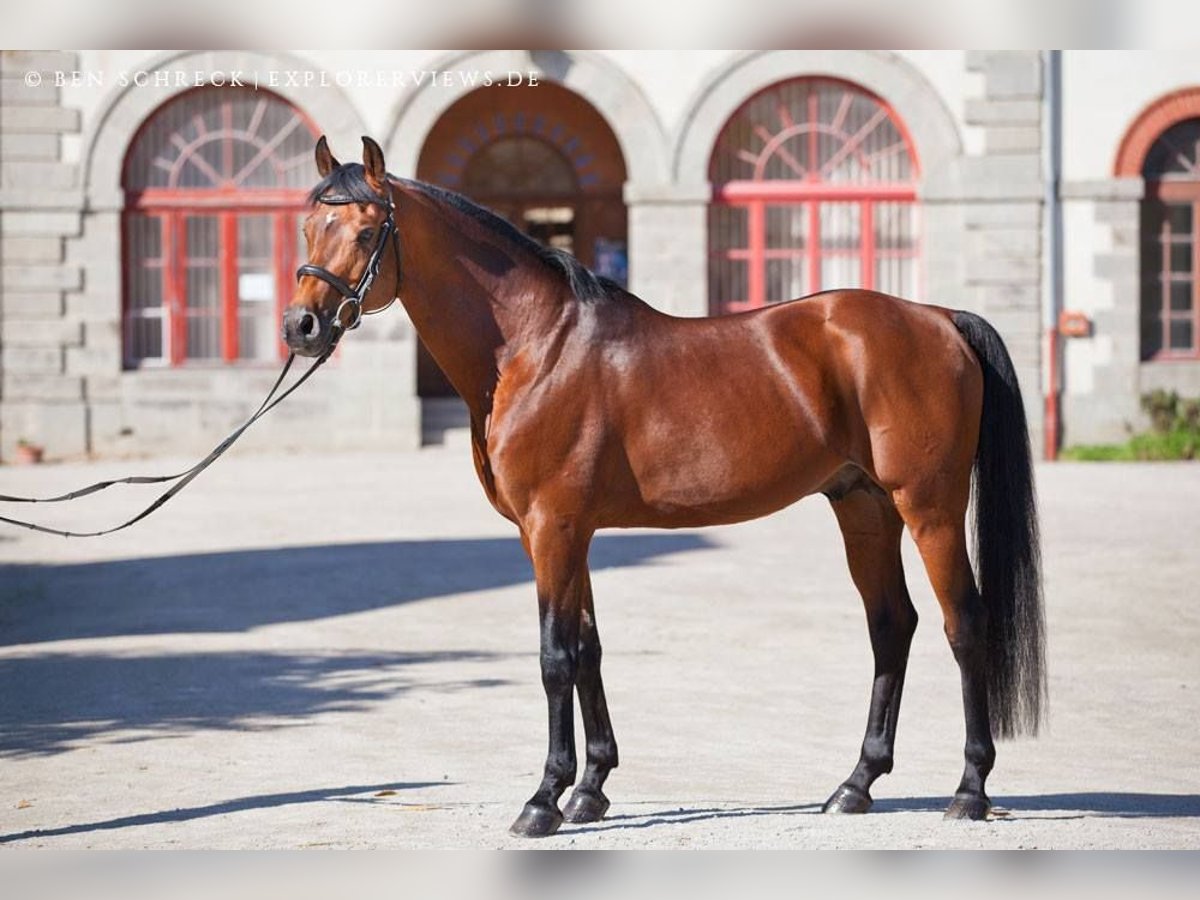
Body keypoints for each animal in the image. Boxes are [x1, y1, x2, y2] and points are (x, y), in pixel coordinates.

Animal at [285, 137, 1046, 844]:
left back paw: (969, 791)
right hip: (864, 507)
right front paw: (590, 790)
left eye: (365, 232)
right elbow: (587, 650)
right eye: (308, 226)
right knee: (892, 625)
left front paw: (543, 801)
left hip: (930, 508)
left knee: (963, 624)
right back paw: (855, 784)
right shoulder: (567, 532)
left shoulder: (552, 527)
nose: (301, 327)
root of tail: (939, 317)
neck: (536, 347)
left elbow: (555, 658)